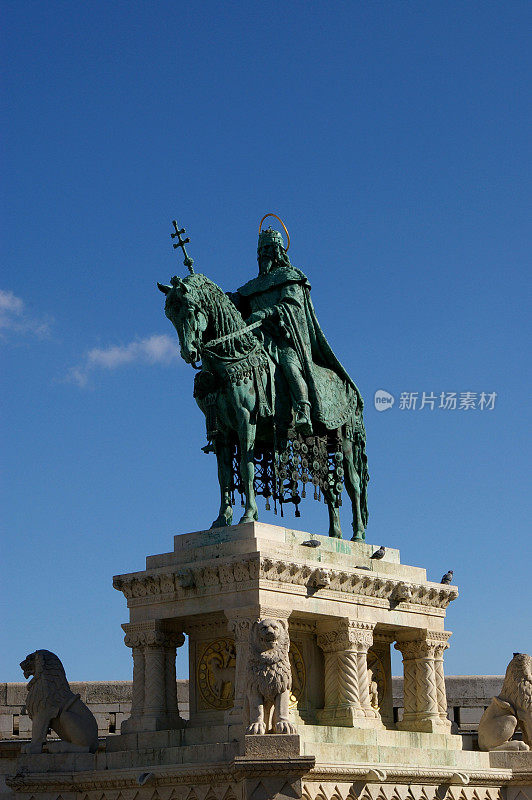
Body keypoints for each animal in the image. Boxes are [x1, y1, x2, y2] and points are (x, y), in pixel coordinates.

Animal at [156, 272, 368, 540]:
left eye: (191, 310)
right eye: (169, 315)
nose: (189, 353)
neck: (231, 358)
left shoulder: (246, 419)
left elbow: (246, 467)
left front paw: (248, 515)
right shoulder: (222, 432)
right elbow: (224, 476)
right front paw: (221, 520)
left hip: (345, 439)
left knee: (353, 484)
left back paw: (357, 535)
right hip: (316, 444)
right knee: (329, 485)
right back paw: (334, 535)